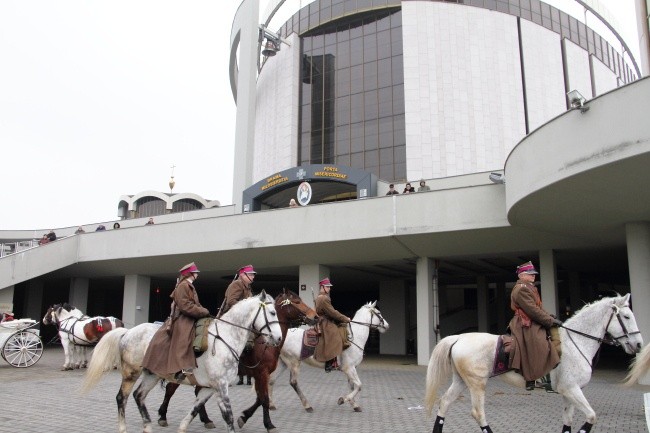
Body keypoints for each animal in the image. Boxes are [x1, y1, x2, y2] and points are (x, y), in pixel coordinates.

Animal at [80, 290, 280, 432]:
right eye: (272, 312)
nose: (277, 339)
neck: (226, 338)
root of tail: (127, 332)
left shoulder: (209, 388)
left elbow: (195, 408)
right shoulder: (221, 387)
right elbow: (229, 417)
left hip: (152, 375)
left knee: (139, 396)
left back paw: (148, 426)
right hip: (131, 373)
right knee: (122, 398)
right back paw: (123, 428)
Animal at [158, 288, 318, 430]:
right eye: (297, 301)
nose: (315, 316)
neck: (264, 344)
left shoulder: (260, 375)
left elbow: (260, 398)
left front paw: (244, 417)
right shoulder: (261, 374)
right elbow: (264, 399)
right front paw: (268, 424)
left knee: (197, 393)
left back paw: (206, 419)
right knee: (170, 389)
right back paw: (162, 416)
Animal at [422, 294, 640, 432]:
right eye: (626, 316)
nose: (638, 344)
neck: (575, 342)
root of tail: (458, 338)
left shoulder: (569, 393)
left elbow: (568, 421)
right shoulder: (572, 389)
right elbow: (591, 416)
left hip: (461, 381)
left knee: (444, 403)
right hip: (477, 384)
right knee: (478, 413)